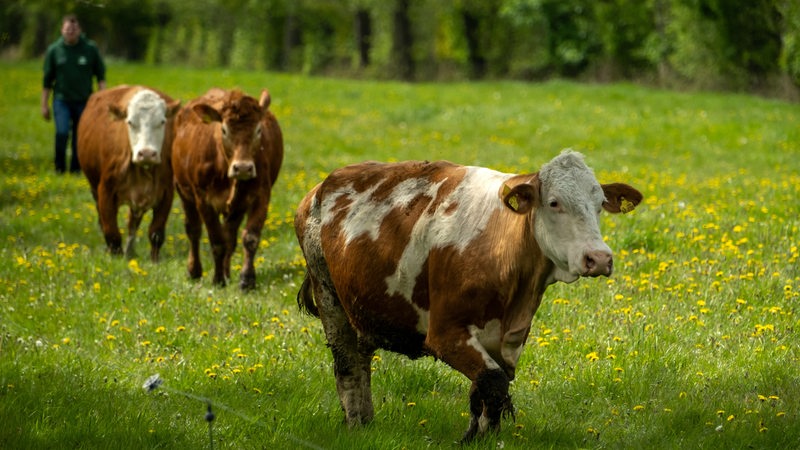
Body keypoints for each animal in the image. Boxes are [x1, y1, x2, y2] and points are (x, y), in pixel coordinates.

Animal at [76, 85, 180, 262]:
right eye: (130, 122)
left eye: (162, 122)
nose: (146, 153)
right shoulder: (105, 190)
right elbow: (111, 232)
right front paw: (115, 259)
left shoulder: (166, 193)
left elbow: (156, 233)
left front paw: (154, 261)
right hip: (94, 188)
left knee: (133, 224)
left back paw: (130, 251)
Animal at [170, 89, 282, 290]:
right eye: (224, 130)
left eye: (258, 130)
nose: (243, 168)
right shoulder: (203, 199)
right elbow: (216, 241)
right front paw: (217, 279)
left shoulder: (261, 194)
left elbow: (249, 238)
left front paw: (246, 279)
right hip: (183, 191)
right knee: (193, 230)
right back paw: (195, 271)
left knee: (230, 236)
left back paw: (227, 272)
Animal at [294, 149, 644, 442]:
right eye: (555, 202)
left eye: (599, 205)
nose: (598, 258)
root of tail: (319, 189)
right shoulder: (445, 333)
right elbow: (493, 381)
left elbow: (489, 389)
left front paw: (486, 435)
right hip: (328, 296)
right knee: (348, 364)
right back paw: (356, 422)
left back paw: (366, 421)